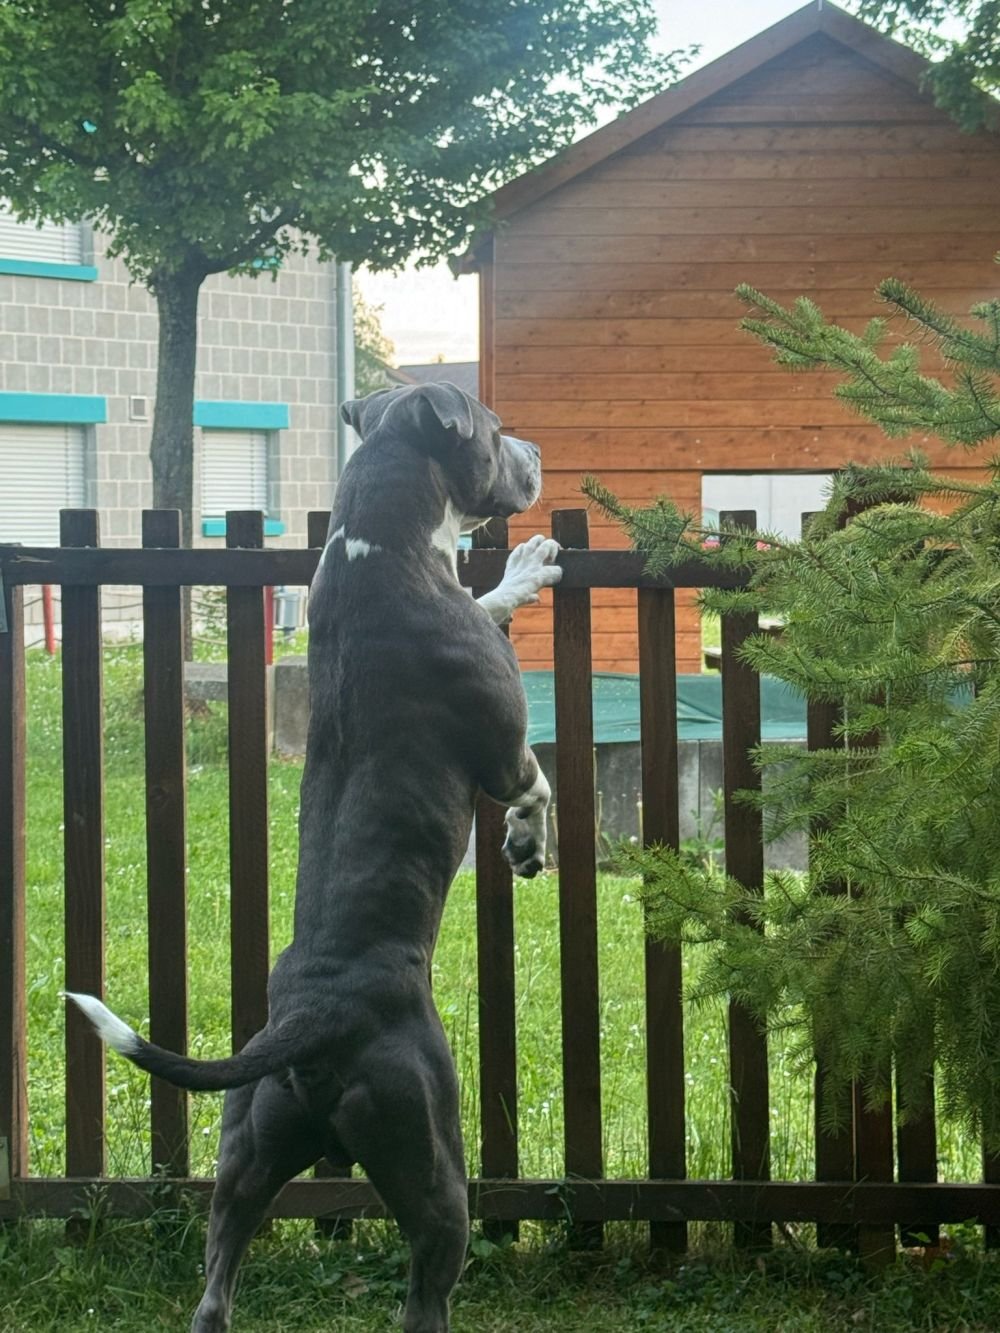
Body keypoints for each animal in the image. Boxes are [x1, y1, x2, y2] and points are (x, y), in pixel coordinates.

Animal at [65, 382, 561, 1332]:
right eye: (489, 430)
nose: (537, 450)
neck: (380, 542)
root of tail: (313, 1021)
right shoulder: (502, 747)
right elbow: (536, 781)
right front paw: (525, 842)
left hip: (246, 1159)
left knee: (215, 1289)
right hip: (432, 1164)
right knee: (425, 1290)